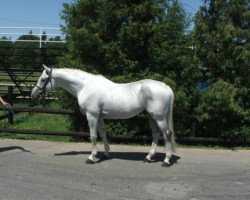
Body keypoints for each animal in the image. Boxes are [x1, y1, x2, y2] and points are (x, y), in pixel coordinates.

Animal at [31, 65, 175, 167]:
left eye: (43, 79)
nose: (33, 94)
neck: (85, 86)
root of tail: (166, 87)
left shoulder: (92, 115)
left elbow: (93, 136)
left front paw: (91, 157)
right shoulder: (99, 117)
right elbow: (103, 133)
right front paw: (106, 154)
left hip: (159, 117)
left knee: (167, 134)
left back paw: (166, 161)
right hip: (152, 117)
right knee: (156, 134)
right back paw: (148, 157)